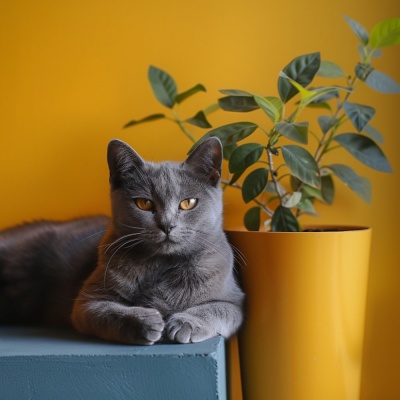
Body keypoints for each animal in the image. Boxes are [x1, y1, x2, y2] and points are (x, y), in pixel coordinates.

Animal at [0, 138, 244, 344]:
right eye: (144, 203)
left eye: (188, 203)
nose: (167, 225)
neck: (162, 266)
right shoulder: (87, 302)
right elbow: (110, 311)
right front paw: (146, 321)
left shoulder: (235, 300)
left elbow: (216, 309)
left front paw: (185, 322)